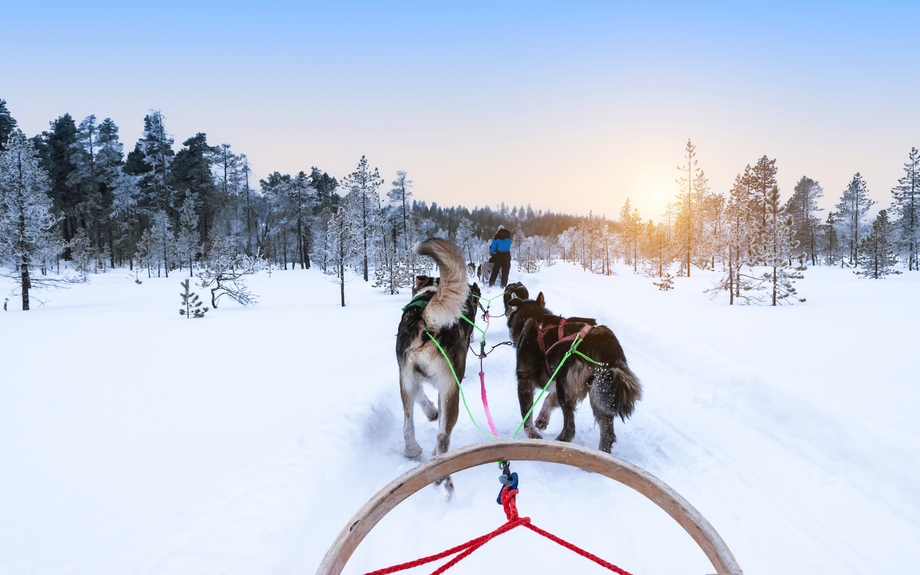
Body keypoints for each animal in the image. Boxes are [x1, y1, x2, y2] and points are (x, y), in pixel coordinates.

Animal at [398, 238, 482, 496]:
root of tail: (426, 322)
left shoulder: (409, 378)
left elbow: (420, 397)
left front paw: (430, 411)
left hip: (405, 380)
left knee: (408, 425)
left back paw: (413, 450)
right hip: (451, 390)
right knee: (443, 435)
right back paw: (440, 468)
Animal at [506, 294, 644, 452]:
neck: (537, 318)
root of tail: (606, 348)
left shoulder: (526, 380)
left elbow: (526, 415)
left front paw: (532, 433)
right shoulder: (558, 383)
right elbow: (548, 399)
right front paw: (542, 419)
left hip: (567, 387)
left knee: (570, 429)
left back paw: (558, 443)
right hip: (600, 393)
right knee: (607, 433)